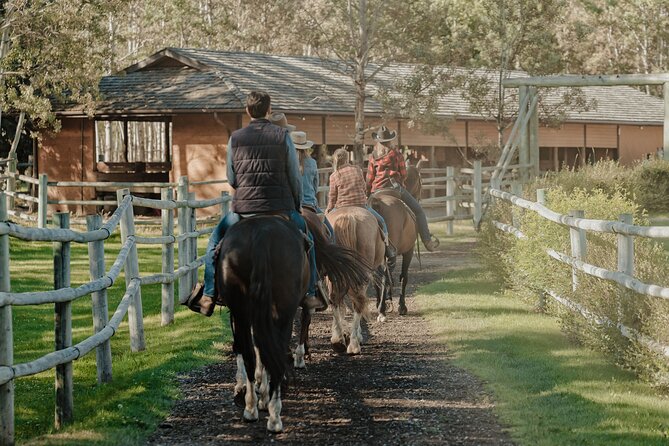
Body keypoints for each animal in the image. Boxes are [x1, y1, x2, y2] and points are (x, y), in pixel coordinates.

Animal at [324, 206, 386, 356]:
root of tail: (349, 217)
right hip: (362, 273)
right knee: (358, 302)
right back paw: (353, 344)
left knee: (334, 299)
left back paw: (338, 342)